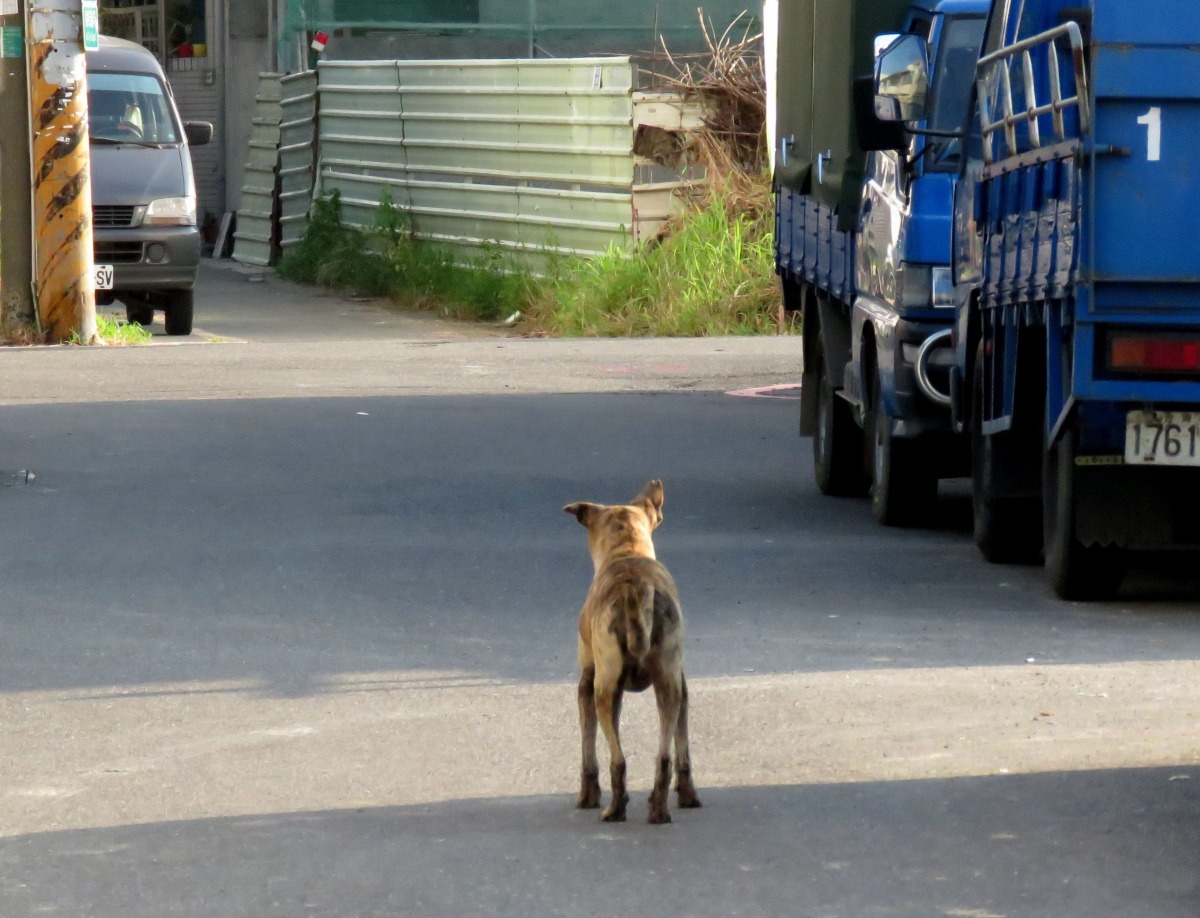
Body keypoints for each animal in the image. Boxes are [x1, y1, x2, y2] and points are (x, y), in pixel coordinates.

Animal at [564, 480, 700, 825]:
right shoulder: (681, 685)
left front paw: (587, 796)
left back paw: (615, 808)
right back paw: (659, 808)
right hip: (668, 683)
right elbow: (683, 749)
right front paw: (688, 795)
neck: (628, 551)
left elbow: (588, 749)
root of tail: (638, 589)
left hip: (603, 689)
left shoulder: (587, 685)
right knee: (665, 756)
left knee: (618, 759)